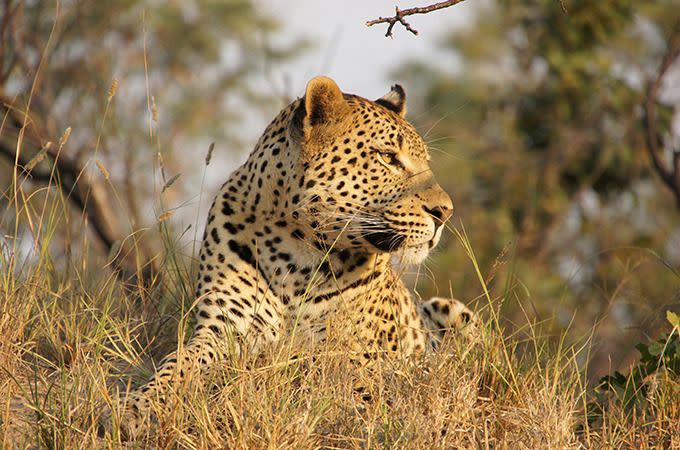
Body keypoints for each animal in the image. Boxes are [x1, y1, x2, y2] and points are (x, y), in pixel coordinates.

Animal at [115, 76, 478, 440]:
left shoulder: (359, 356)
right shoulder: (222, 329)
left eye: (425, 162)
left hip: (454, 312)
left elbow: (316, 370)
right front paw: (134, 407)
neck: (296, 250)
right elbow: (178, 364)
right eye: (387, 157)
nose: (445, 212)